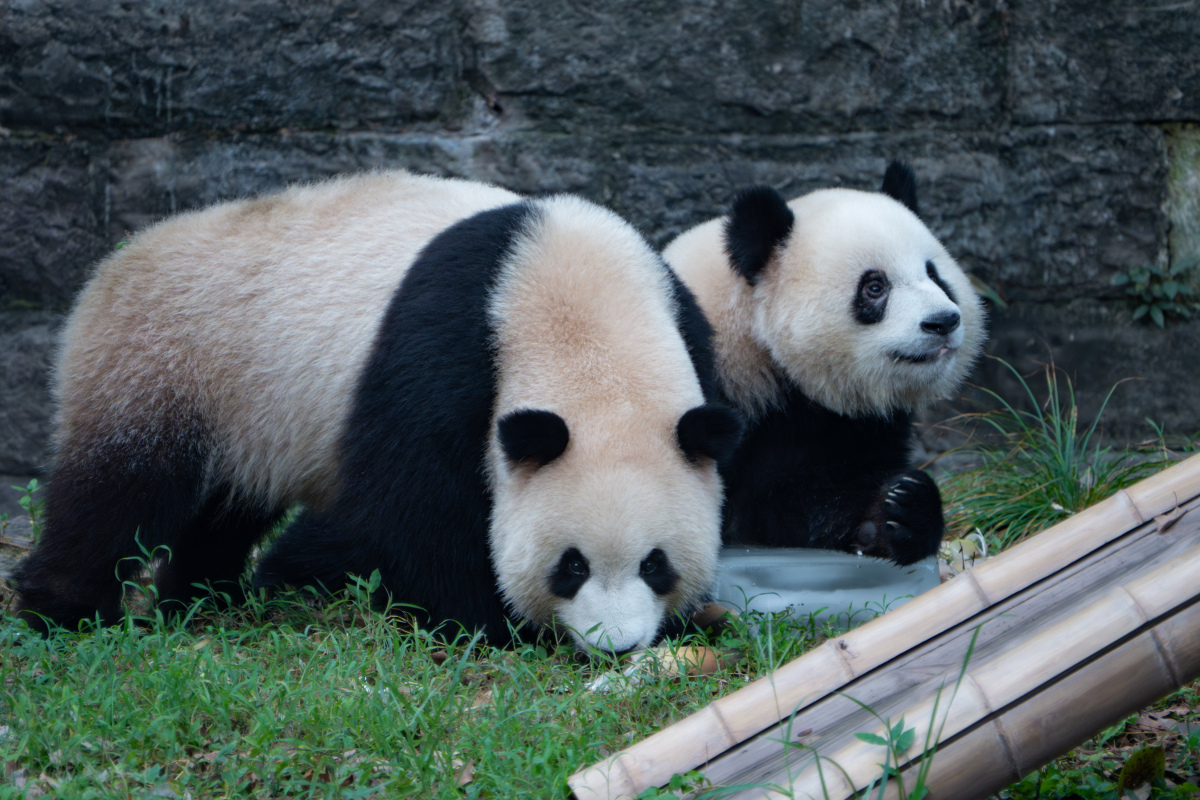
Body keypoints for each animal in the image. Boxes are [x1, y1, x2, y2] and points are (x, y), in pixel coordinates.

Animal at [14, 170, 734, 657]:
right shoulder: (443, 348)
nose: (617, 645)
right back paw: (65, 612)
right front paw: (486, 621)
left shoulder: (687, 329)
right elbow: (412, 509)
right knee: (117, 492)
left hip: (247, 411)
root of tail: (118, 260)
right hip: (159, 363)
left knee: (229, 503)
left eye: (656, 564)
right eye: (572, 566)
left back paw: (203, 594)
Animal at [667, 160, 984, 563]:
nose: (942, 322)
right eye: (875, 287)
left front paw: (904, 508)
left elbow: (805, 496)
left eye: (934, 274)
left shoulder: (837, 425)